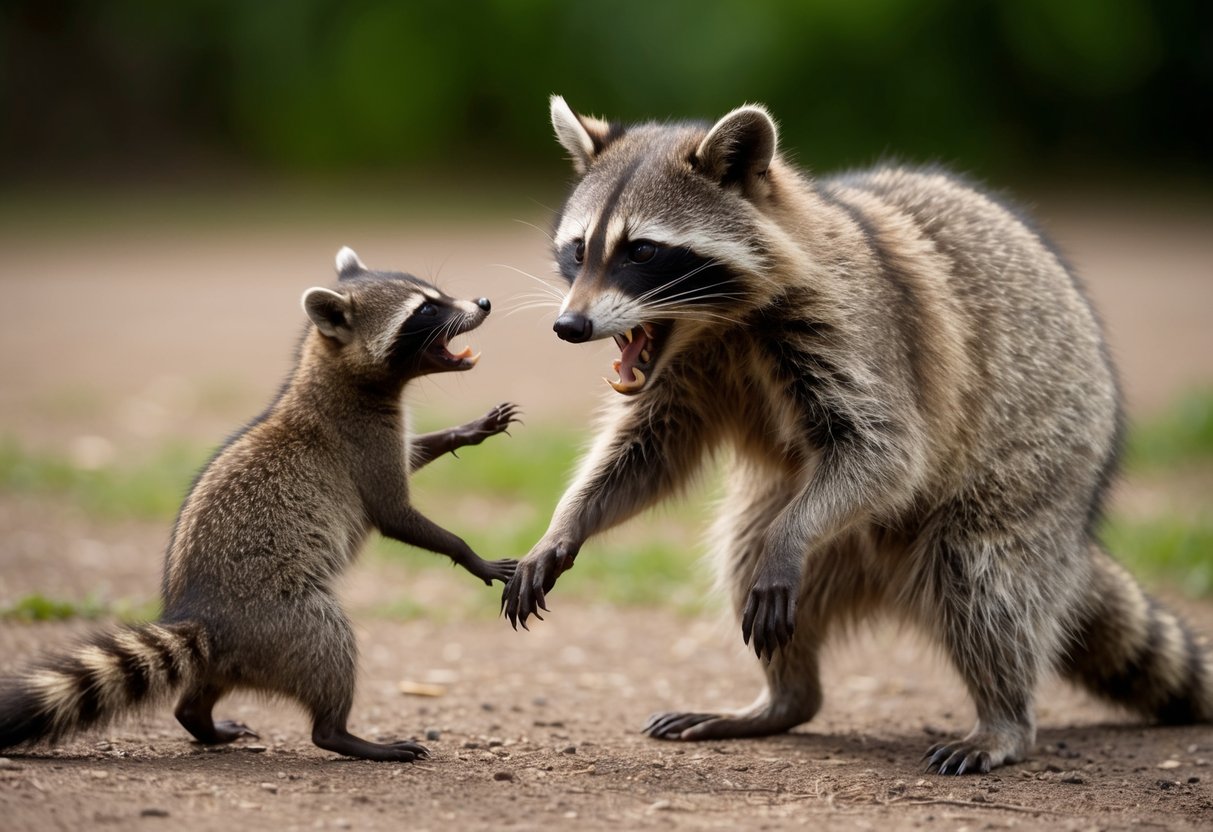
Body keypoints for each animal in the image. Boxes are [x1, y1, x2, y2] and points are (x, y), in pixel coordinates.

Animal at [0, 248, 518, 761]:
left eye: (438, 295)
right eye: (425, 310)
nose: (484, 303)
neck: (335, 373)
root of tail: (201, 618)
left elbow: (414, 454)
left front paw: (463, 432)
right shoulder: (361, 440)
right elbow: (393, 514)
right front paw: (469, 553)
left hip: (242, 652)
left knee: (202, 692)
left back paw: (198, 717)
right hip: (284, 618)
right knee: (329, 647)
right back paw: (341, 734)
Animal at [501, 96, 1213, 774]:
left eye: (642, 251)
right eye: (578, 249)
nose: (569, 326)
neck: (715, 324)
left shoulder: (855, 325)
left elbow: (887, 451)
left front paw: (790, 536)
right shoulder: (684, 374)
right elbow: (647, 452)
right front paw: (566, 522)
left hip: (1039, 463)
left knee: (984, 582)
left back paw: (1004, 716)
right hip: (819, 531)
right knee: (744, 551)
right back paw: (783, 698)